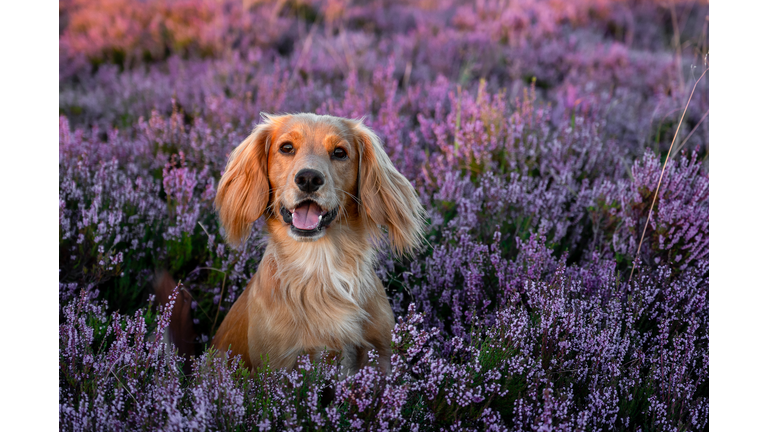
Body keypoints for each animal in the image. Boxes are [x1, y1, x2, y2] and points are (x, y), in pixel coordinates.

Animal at [213, 113, 424, 372]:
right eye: (286, 148)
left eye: (340, 152)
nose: (309, 178)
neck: (321, 264)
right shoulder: (278, 364)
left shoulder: (381, 353)